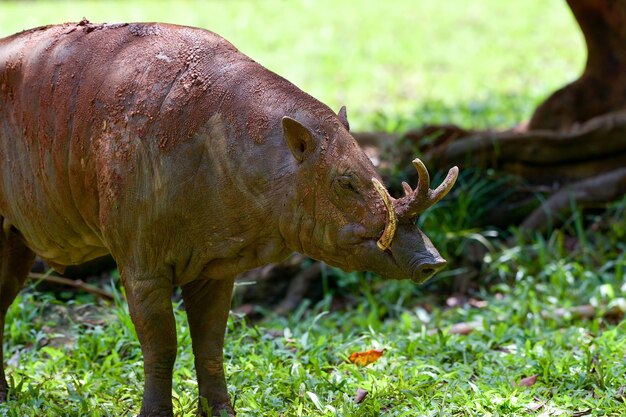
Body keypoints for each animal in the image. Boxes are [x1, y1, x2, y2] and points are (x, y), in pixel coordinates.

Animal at [1, 20, 458, 416]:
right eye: (345, 183)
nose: (432, 261)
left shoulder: (216, 267)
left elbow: (210, 342)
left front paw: (222, 411)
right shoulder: (141, 264)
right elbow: (162, 344)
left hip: (15, 241)